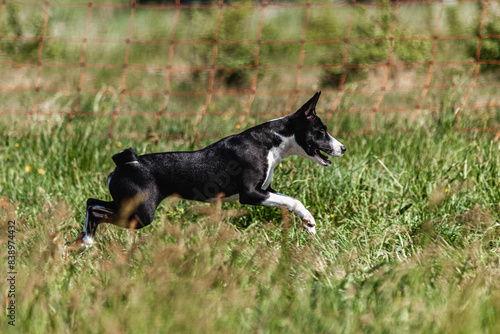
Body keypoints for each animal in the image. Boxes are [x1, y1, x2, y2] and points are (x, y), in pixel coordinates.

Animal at [78, 91, 346, 245]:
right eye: (321, 132)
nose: (343, 148)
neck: (273, 141)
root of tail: (127, 162)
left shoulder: (266, 190)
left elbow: (290, 200)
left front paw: (308, 223)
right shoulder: (251, 194)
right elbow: (292, 200)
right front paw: (308, 221)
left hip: (128, 204)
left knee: (92, 202)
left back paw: (85, 240)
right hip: (141, 213)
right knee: (98, 211)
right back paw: (88, 240)